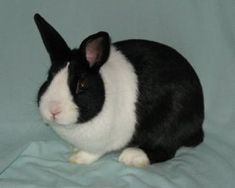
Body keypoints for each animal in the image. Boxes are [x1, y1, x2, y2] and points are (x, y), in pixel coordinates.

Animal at [33, 14, 204, 167]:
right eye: (49, 77)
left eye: (81, 84)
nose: (53, 111)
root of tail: (198, 121)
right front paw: (75, 150)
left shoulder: (101, 142)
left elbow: (93, 153)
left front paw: (78, 158)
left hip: (171, 121)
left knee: (166, 149)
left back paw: (133, 156)